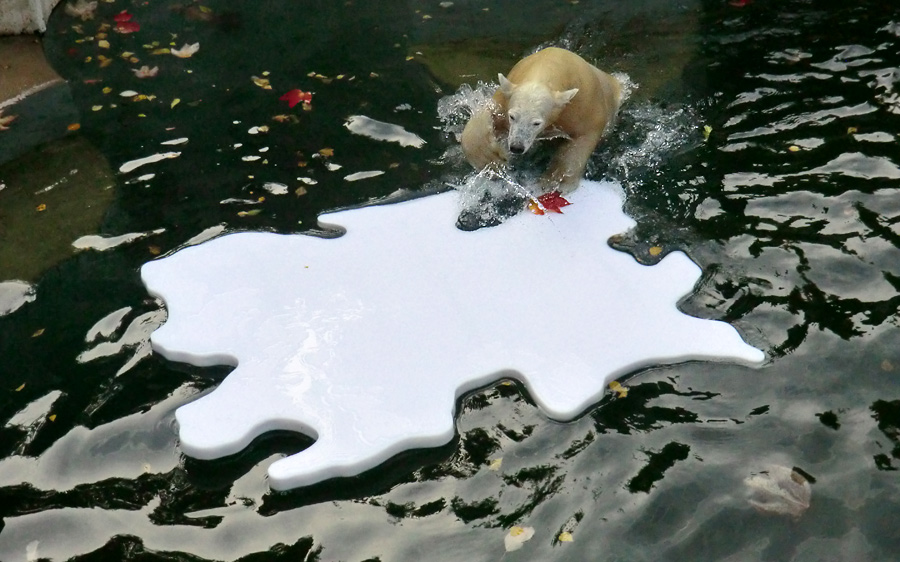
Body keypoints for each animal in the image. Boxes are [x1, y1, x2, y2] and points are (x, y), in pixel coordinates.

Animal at [464, 46, 620, 190]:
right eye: (512, 116)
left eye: (536, 123)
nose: (517, 147)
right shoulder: (504, 99)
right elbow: (488, 115)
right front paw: (490, 159)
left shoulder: (584, 105)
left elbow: (583, 136)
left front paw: (555, 181)